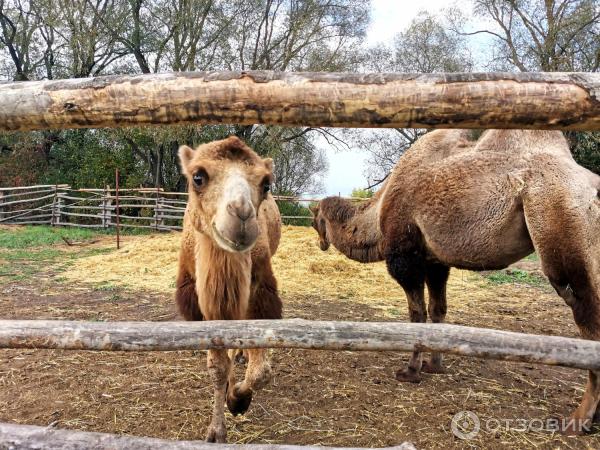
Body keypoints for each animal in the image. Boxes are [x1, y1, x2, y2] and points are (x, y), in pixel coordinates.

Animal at [176, 134, 284, 442]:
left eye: (266, 183)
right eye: (198, 177)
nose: (242, 215)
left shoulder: (261, 293)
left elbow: (261, 373)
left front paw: (238, 399)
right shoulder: (199, 302)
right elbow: (217, 367)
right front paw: (217, 430)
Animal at [312, 129, 600, 432]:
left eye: (315, 221)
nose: (320, 243)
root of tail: (592, 187)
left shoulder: (406, 257)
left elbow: (417, 315)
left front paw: (410, 371)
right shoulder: (435, 261)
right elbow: (438, 311)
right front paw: (434, 365)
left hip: (559, 219)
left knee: (587, 316)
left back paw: (579, 419)